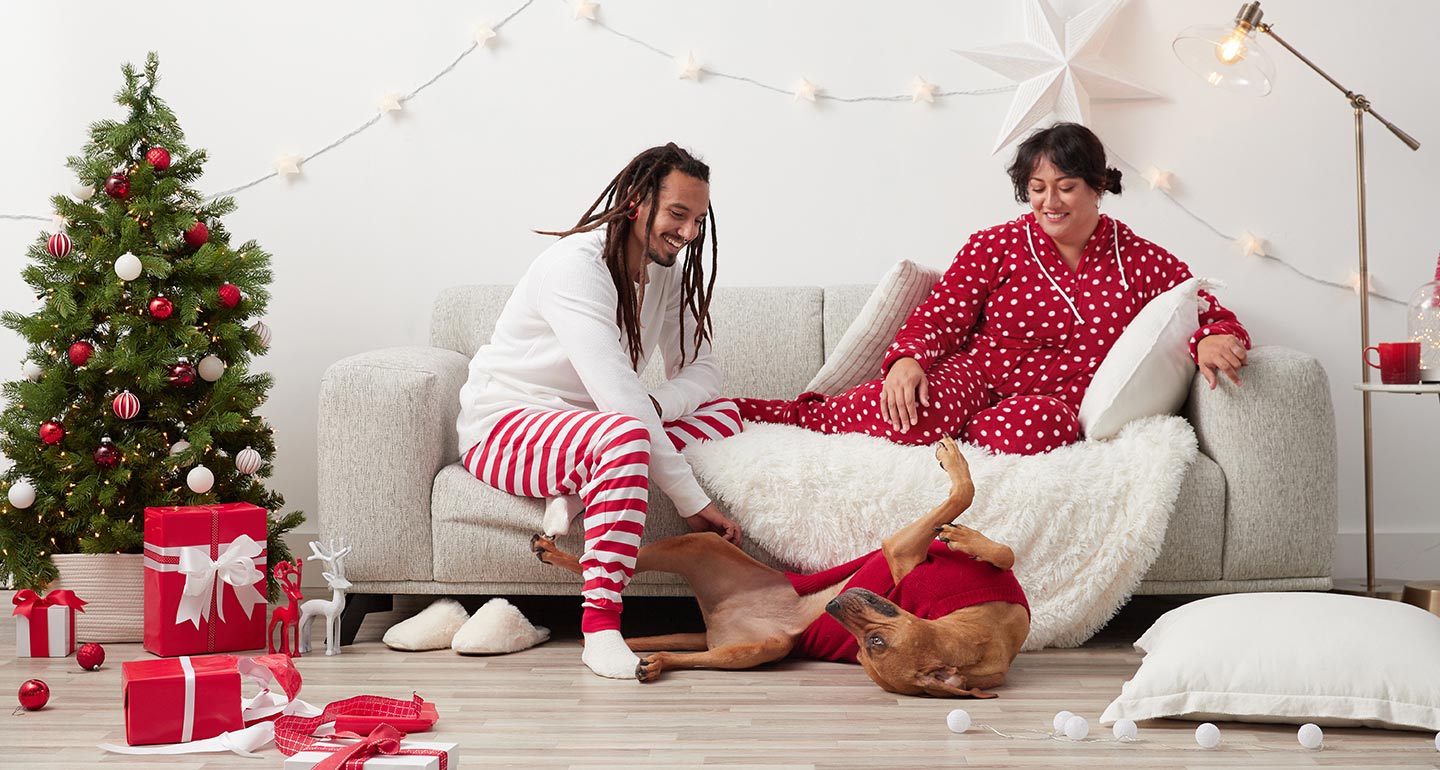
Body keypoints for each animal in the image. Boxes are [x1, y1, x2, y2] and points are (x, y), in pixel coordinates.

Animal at [535, 437, 1031, 696]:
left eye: (872, 646)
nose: (834, 608)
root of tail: (717, 620)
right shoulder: (900, 550)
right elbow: (988, 530)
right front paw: (968, 532)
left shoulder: (898, 552)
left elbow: (973, 510)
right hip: (699, 543)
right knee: (604, 564)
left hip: (757, 647)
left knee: (689, 653)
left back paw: (652, 661)